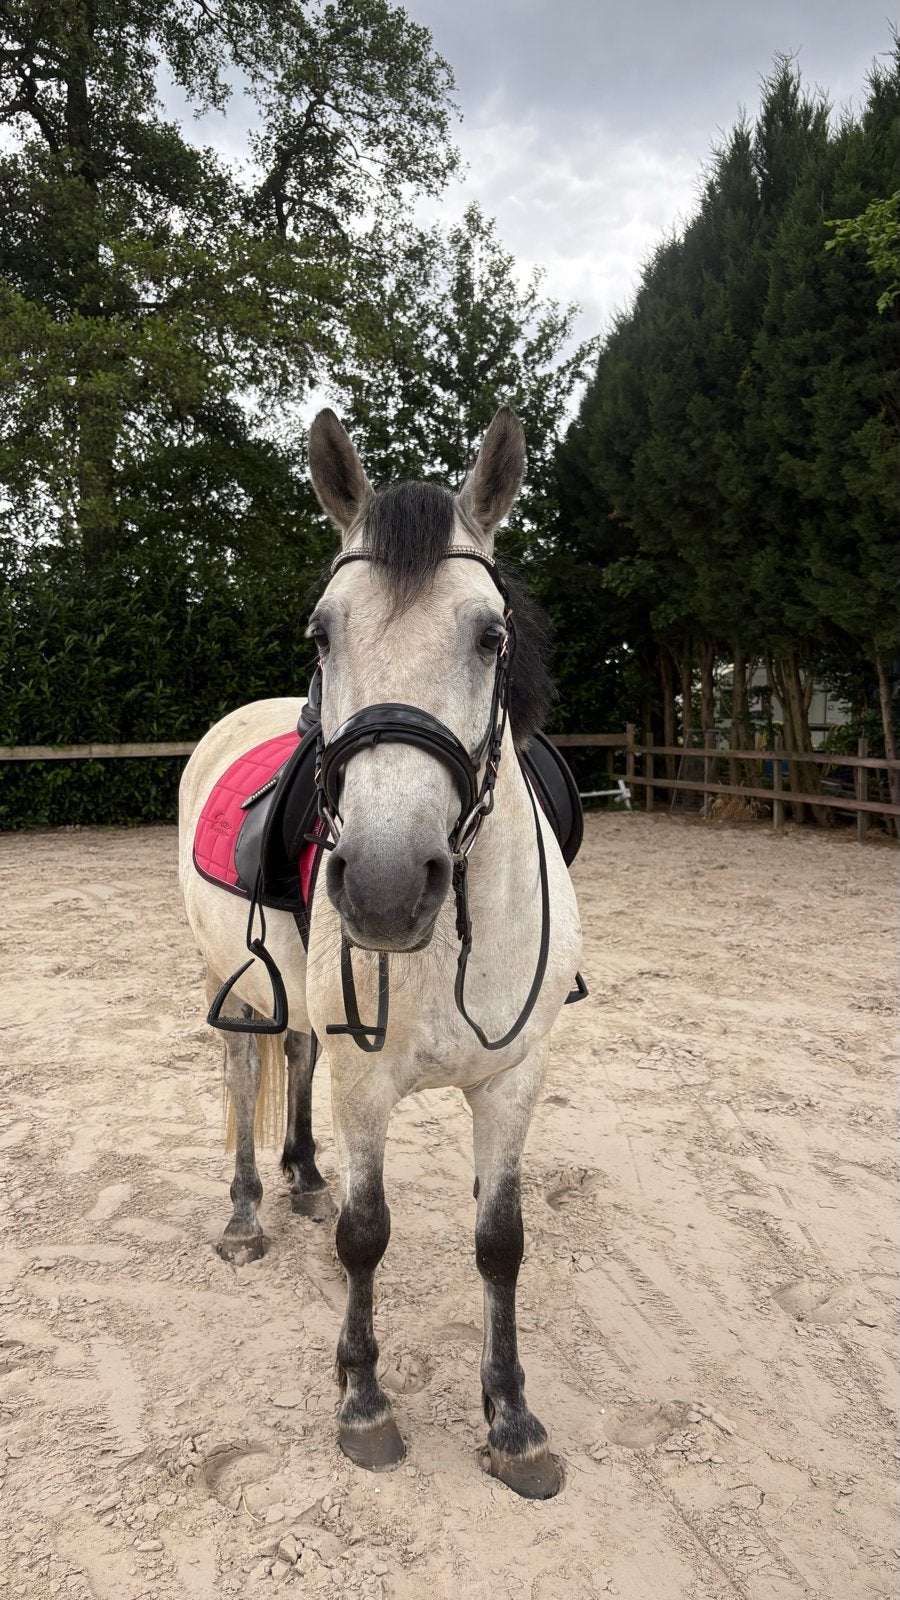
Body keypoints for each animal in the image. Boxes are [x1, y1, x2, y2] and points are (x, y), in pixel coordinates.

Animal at [178, 406, 583, 1499]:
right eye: (324, 632)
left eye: (491, 636)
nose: (390, 886)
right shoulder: (368, 1083)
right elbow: (368, 1237)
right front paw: (362, 1400)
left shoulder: (514, 1080)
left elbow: (501, 1242)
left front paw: (514, 1419)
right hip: (233, 982)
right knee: (245, 1070)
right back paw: (247, 1213)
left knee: (295, 1054)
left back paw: (303, 1177)